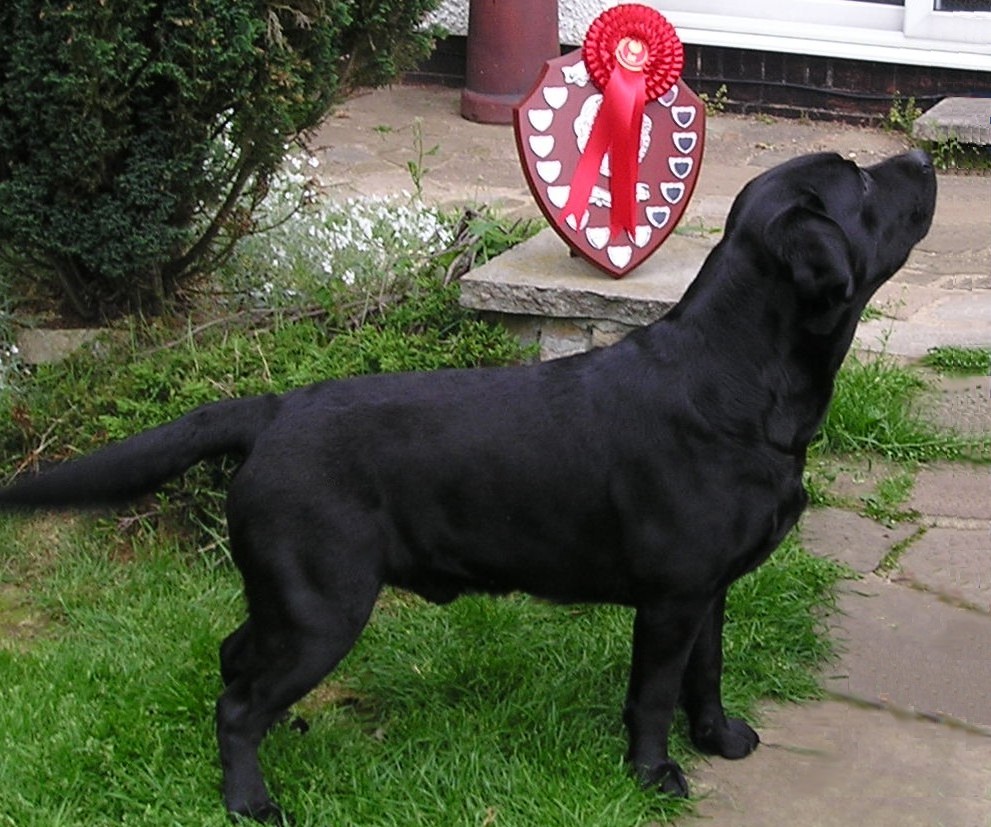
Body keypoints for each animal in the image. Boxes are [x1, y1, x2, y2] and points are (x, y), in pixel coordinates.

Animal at [0, 149, 936, 820]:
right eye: (859, 180)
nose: (924, 156)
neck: (738, 379)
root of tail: (270, 410)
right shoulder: (671, 597)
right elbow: (651, 694)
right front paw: (653, 774)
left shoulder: (710, 589)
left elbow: (704, 675)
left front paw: (718, 739)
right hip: (322, 606)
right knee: (236, 704)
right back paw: (249, 801)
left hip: (291, 599)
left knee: (236, 661)